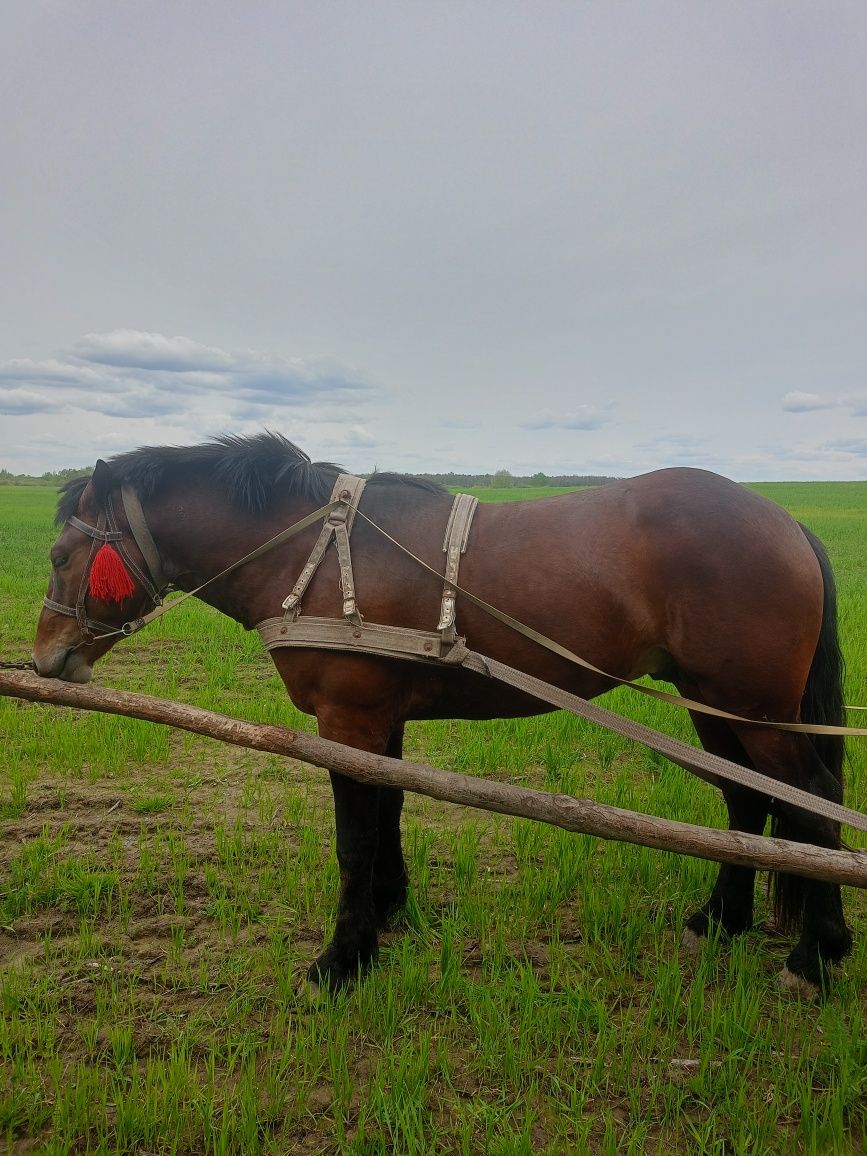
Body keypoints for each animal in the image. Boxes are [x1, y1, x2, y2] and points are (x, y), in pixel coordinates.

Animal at [30, 434, 850, 994]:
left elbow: (355, 836)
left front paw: (343, 957)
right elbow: (388, 810)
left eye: (61, 554)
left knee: (810, 804)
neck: (318, 549)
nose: (44, 660)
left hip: (754, 710)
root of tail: (783, 520)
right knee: (747, 802)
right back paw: (723, 920)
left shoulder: (348, 718)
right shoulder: (376, 719)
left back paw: (815, 954)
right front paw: (387, 911)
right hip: (711, 701)